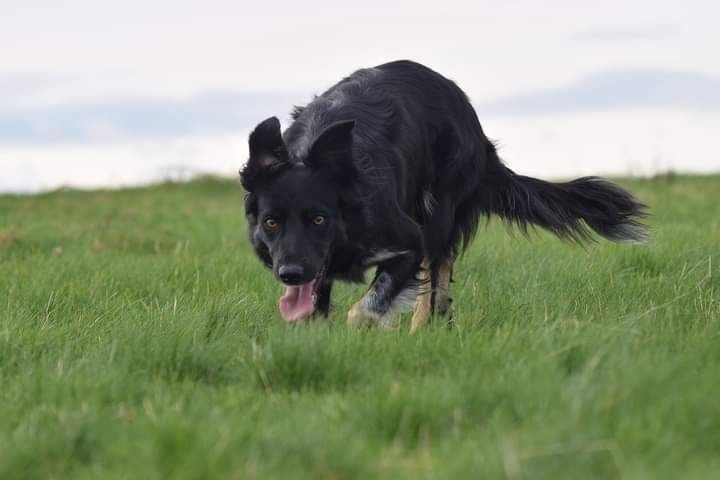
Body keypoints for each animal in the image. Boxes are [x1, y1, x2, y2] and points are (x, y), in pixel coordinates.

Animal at [240, 60, 648, 332]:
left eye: (319, 219)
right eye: (270, 222)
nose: (289, 274)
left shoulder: (408, 239)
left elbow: (367, 307)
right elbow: (316, 305)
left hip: (440, 206)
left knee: (439, 267)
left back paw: (424, 326)